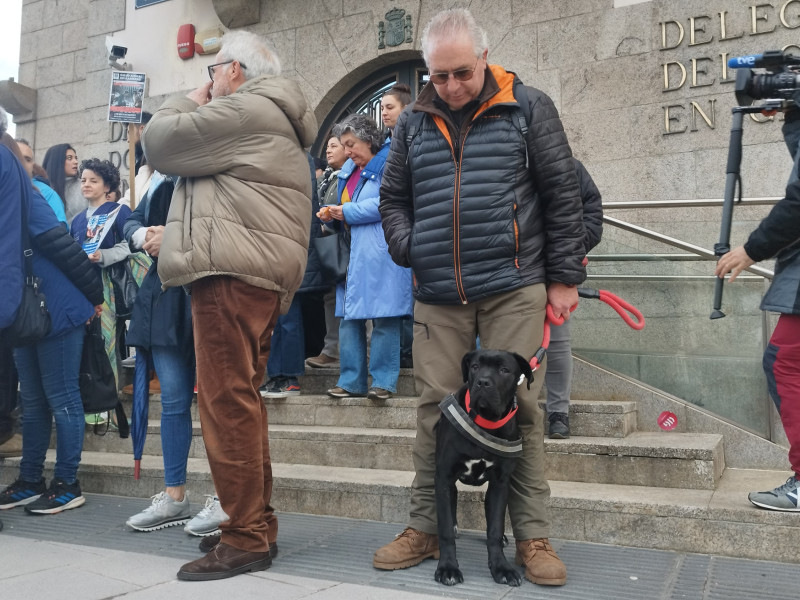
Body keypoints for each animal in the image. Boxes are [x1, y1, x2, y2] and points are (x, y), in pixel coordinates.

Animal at [434, 346, 536, 584]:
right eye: (475, 366)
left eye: (504, 370)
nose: (482, 382)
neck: (486, 422)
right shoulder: (444, 476)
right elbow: (444, 528)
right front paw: (448, 568)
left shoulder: (500, 483)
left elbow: (495, 529)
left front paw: (502, 568)